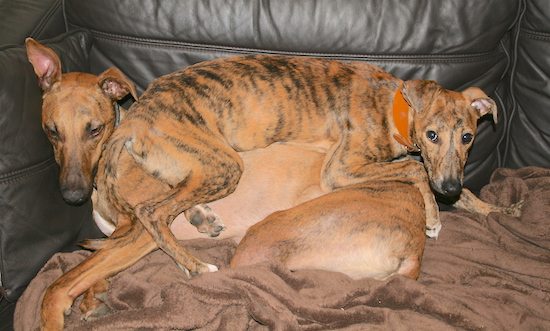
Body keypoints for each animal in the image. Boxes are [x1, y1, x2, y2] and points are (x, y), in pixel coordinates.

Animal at [27, 51, 528, 330]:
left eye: (469, 137)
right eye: (432, 134)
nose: (450, 187)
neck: (395, 105)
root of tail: (133, 119)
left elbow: (433, 177)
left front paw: (492, 210)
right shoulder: (341, 170)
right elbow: (415, 169)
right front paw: (434, 213)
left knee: (163, 213)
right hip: (216, 177)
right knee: (148, 220)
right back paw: (194, 262)